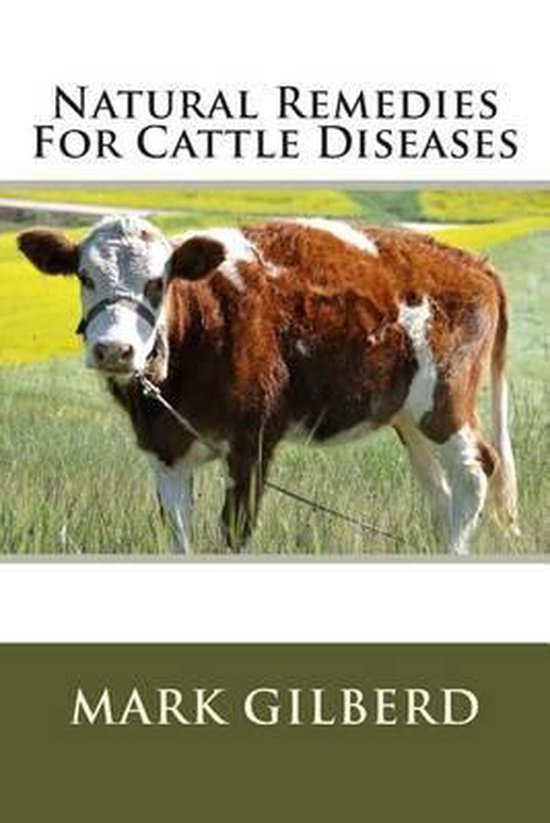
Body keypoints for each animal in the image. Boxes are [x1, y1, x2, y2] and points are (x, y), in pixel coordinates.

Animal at [17, 215, 519, 554]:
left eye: (158, 282)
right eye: (84, 277)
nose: (114, 350)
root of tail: (471, 262)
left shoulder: (252, 442)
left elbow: (235, 532)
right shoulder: (165, 451)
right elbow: (177, 533)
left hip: (444, 403)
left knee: (475, 469)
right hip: (408, 417)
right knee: (441, 490)